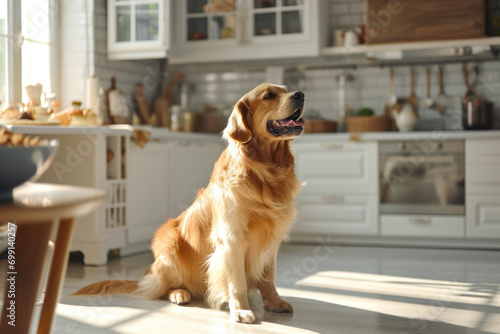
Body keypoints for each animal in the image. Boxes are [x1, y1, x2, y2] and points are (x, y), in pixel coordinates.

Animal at [73, 83, 304, 324]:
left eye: (285, 90)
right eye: (268, 95)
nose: (301, 95)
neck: (264, 171)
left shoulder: (272, 238)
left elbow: (268, 279)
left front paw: (274, 302)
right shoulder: (231, 240)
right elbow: (237, 282)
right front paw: (241, 309)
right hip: (170, 243)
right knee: (161, 288)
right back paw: (179, 293)